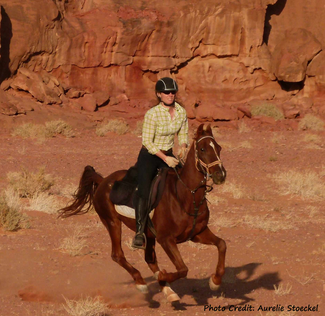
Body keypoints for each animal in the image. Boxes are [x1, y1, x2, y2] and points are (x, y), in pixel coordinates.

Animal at [58, 123, 225, 302]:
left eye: (219, 148)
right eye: (202, 149)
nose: (221, 175)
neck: (185, 195)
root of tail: (103, 181)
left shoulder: (197, 233)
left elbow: (222, 244)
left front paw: (215, 281)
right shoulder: (166, 239)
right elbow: (182, 269)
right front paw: (163, 276)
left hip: (147, 233)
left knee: (149, 259)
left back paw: (168, 291)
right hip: (112, 222)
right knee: (117, 255)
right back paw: (141, 282)